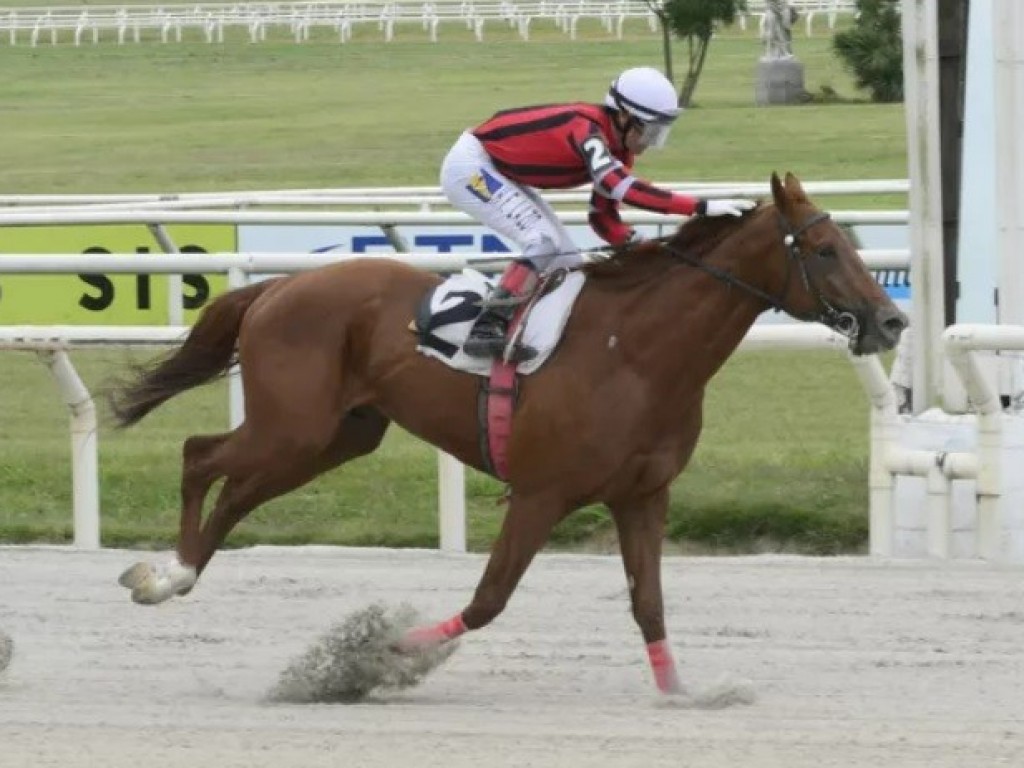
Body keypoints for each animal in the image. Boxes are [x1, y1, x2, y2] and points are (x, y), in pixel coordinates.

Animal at [112, 173, 909, 692]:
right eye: (827, 250)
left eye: (853, 243)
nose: (893, 319)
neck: (638, 352)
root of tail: (277, 286)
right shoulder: (541, 492)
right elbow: (488, 599)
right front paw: (381, 655)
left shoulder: (642, 495)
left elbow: (648, 602)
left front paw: (683, 692)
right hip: (295, 426)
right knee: (201, 456)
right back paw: (167, 574)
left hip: (338, 436)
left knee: (235, 488)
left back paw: (176, 573)